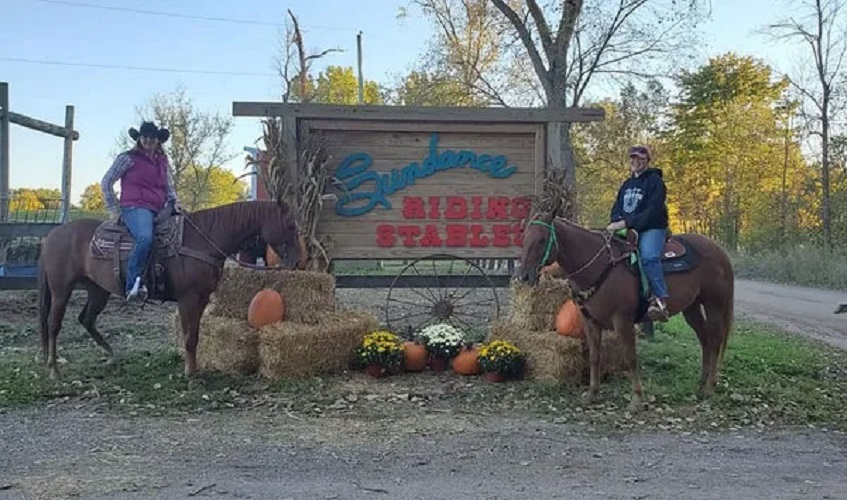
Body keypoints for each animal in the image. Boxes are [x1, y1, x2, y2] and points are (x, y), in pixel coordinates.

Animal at [36, 199, 302, 378]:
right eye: (290, 225)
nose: (298, 260)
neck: (201, 241)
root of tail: (52, 235)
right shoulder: (188, 299)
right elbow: (188, 337)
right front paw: (190, 375)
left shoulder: (202, 299)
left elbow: (195, 335)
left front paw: (194, 369)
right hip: (61, 290)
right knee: (53, 324)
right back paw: (53, 369)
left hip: (98, 290)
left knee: (86, 319)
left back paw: (111, 356)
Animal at [516, 201, 736, 412]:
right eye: (524, 238)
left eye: (542, 239)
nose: (525, 276)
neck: (601, 265)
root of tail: (720, 251)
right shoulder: (590, 321)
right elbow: (594, 356)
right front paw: (592, 393)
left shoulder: (623, 321)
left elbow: (630, 358)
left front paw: (636, 399)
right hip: (691, 308)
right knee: (704, 340)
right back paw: (701, 383)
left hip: (714, 304)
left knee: (715, 341)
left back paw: (709, 387)